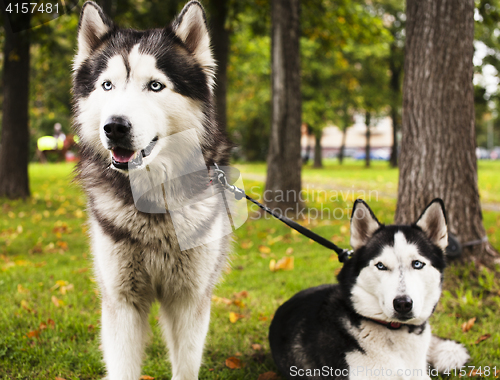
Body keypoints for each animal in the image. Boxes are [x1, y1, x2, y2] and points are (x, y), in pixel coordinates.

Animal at [73, 1, 233, 378]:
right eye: (107, 85)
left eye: (155, 86)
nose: (114, 127)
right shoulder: (122, 301)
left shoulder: (189, 300)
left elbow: (186, 367)